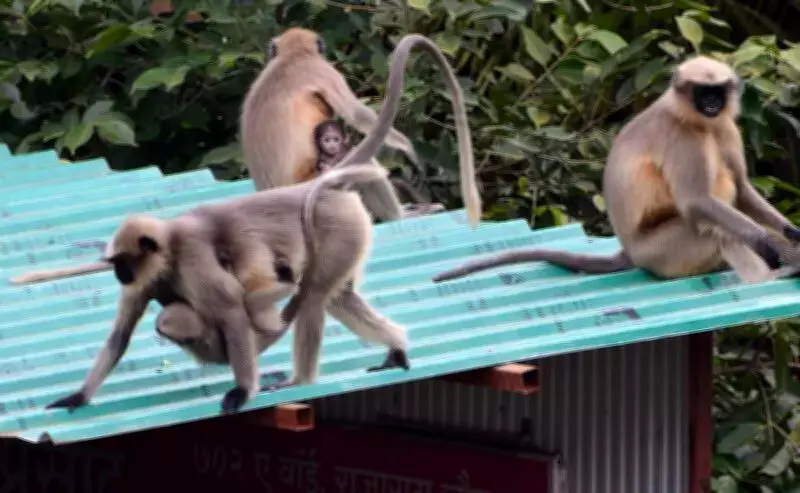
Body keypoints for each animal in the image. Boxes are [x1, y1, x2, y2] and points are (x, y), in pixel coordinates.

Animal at [433, 55, 800, 285]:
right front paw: (766, 242)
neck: (697, 121)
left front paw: (791, 233)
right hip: (661, 251)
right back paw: (764, 277)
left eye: (717, 92)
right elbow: (697, 201)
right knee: (716, 228)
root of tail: (631, 252)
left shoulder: (724, 127)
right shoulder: (682, 136)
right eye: (701, 92)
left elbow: (743, 189)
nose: (711, 104)